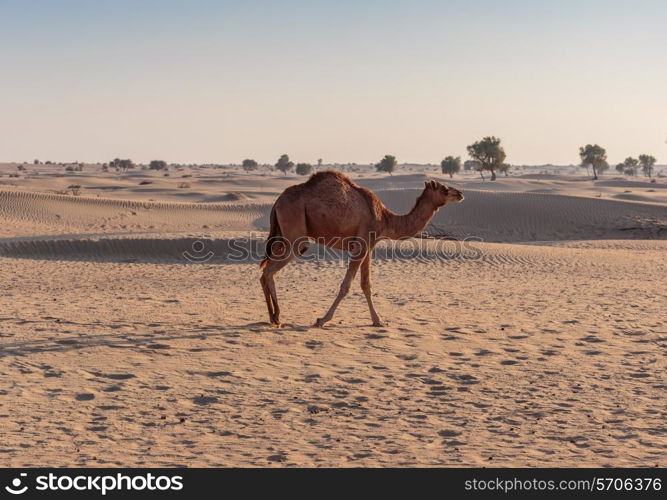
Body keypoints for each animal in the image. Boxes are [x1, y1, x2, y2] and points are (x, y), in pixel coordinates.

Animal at [260, 172, 464, 328]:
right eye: (445, 190)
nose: (460, 193)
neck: (386, 219)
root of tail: (277, 202)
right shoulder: (361, 245)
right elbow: (346, 286)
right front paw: (322, 320)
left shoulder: (370, 246)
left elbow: (366, 284)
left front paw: (378, 320)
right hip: (295, 231)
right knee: (270, 270)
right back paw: (277, 317)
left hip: (282, 236)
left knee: (264, 271)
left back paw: (271, 317)